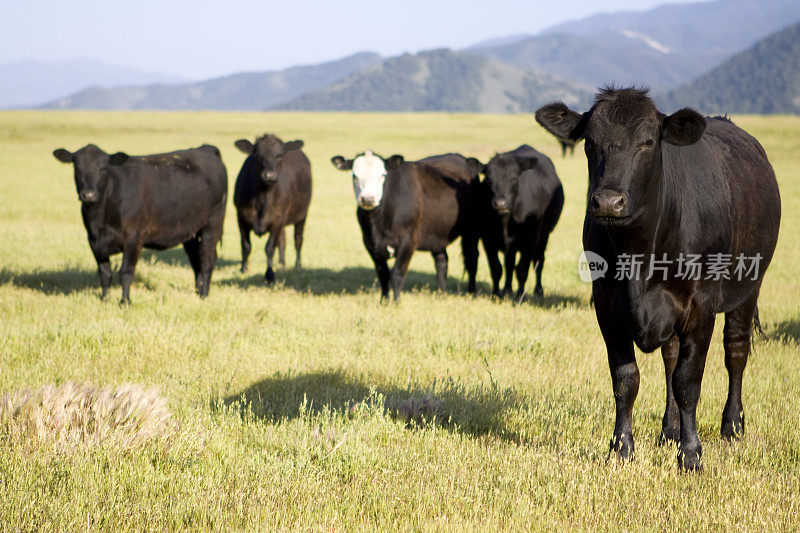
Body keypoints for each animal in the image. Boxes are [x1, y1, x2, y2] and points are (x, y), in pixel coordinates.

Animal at [52, 143, 228, 304]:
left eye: (102, 169)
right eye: (77, 169)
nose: (89, 195)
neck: (100, 219)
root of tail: (204, 148)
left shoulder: (134, 238)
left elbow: (125, 272)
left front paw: (125, 302)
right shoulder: (94, 242)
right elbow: (104, 273)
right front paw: (104, 299)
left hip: (212, 226)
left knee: (207, 260)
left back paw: (204, 295)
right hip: (190, 231)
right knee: (196, 261)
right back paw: (197, 292)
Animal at [233, 133, 310, 282]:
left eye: (279, 155)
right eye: (258, 155)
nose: (269, 176)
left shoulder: (278, 219)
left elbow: (269, 247)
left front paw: (269, 274)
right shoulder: (241, 217)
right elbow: (245, 245)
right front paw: (243, 269)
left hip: (302, 215)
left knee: (298, 240)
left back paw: (297, 265)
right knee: (282, 239)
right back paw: (281, 263)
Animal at [328, 151, 478, 300]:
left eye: (383, 175)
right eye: (354, 175)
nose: (368, 199)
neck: (379, 224)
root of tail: (461, 157)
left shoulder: (408, 241)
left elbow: (397, 274)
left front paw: (396, 302)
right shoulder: (370, 243)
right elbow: (383, 275)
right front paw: (384, 301)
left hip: (471, 230)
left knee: (472, 259)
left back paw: (472, 293)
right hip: (437, 233)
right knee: (442, 261)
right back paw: (440, 294)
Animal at [478, 145, 564, 302]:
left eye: (513, 179)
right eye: (488, 180)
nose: (501, 203)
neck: (505, 221)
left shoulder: (530, 239)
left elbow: (522, 269)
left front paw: (519, 298)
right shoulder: (487, 239)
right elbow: (496, 268)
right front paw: (496, 295)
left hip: (544, 236)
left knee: (538, 262)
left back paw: (538, 291)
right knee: (509, 264)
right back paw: (507, 290)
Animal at [536, 87, 780, 470]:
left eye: (648, 142)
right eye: (590, 142)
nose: (609, 201)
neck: (638, 258)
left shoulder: (701, 307)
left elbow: (688, 381)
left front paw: (691, 454)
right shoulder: (606, 305)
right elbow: (626, 380)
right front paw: (621, 448)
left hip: (749, 286)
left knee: (736, 352)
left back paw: (732, 425)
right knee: (670, 358)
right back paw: (669, 430)